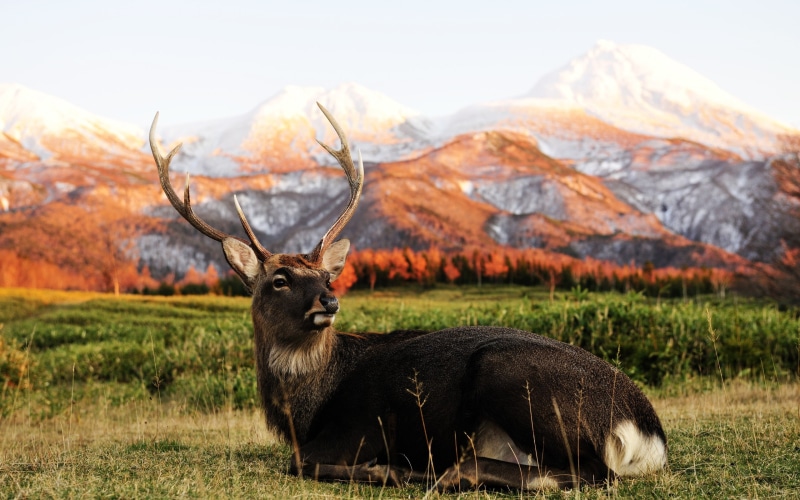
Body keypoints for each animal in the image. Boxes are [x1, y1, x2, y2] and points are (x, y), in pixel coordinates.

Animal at [148, 104, 667, 491]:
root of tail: (647, 432)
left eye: (327, 276)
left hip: (512, 376)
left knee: (592, 472)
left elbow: (299, 462)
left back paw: (436, 471)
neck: (304, 409)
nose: (328, 303)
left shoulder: (360, 426)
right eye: (279, 279)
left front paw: (385, 469)